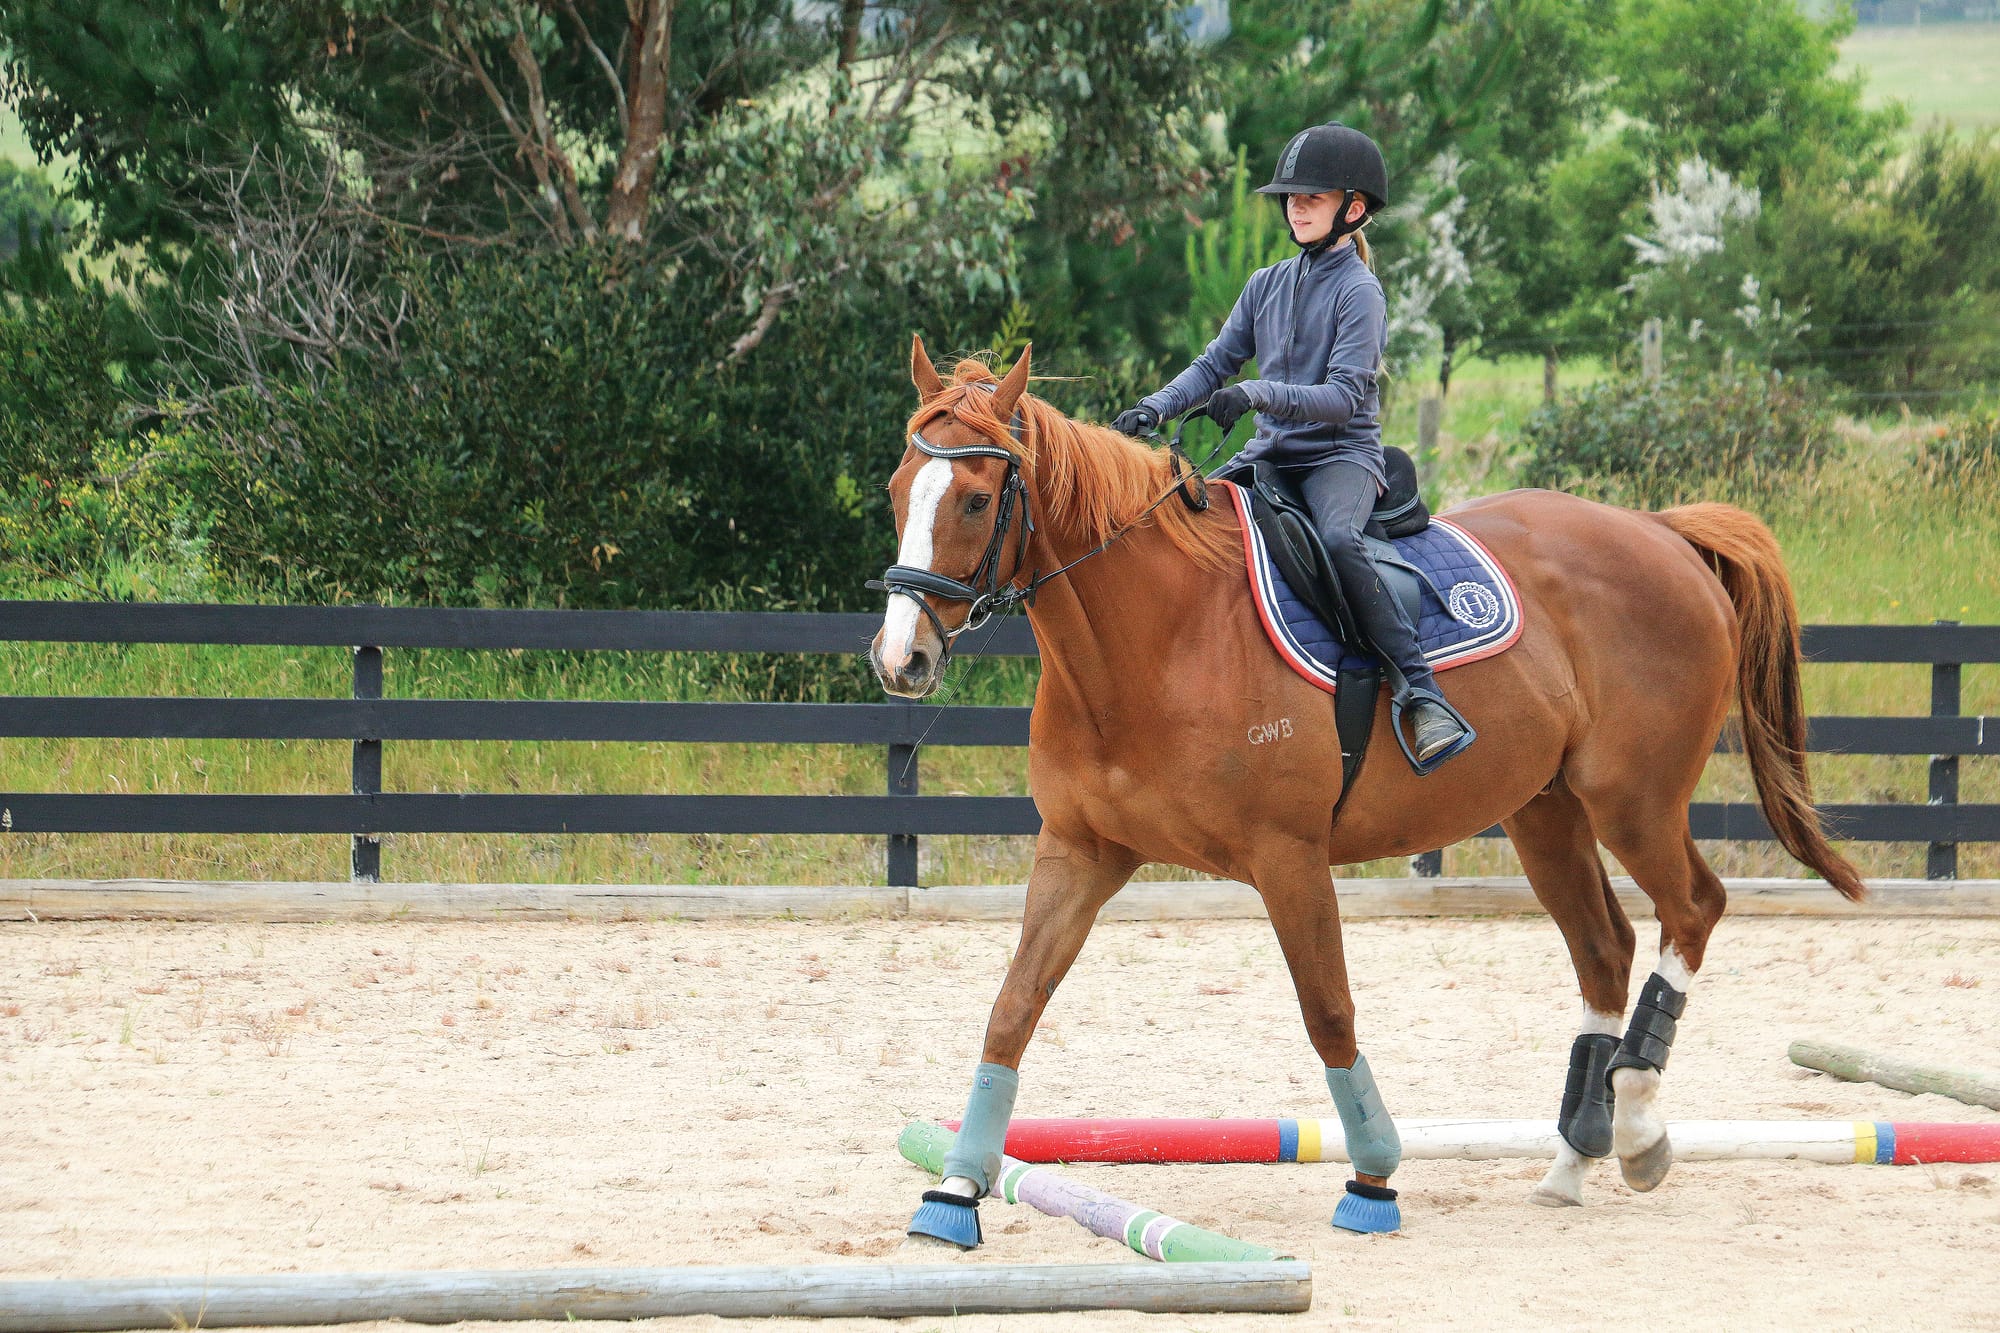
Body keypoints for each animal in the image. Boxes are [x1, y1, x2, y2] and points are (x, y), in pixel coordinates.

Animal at [868, 338, 1863, 1244]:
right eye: (896, 489)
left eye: (976, 498)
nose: (899, 658)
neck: (1160, 637)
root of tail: (1663, 531)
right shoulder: (1082, 851)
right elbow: (1012, 1008)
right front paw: (955, 1191)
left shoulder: (1289, 858)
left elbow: (1329, 1012)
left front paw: (1374, 1177)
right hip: (1545, 813)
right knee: (1606, 948)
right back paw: (1573, 1160)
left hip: (1633, 802)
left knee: (1692, 907)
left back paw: (1641, 1125)